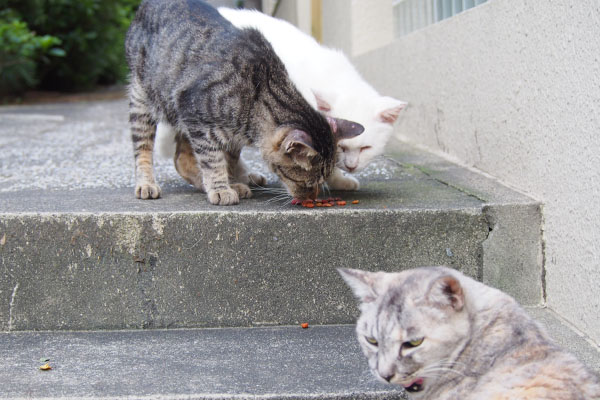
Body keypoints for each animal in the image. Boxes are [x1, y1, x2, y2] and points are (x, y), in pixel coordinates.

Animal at [124, 0, 364, 206]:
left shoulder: (228, 136)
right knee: (144, 149)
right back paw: (147, 184)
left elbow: (227, 160)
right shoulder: (196, 117)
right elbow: (212, 159)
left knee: (182, 158)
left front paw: (231, 182)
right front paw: (221, 188)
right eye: (308, 182)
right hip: (142, 99)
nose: (311, 198)